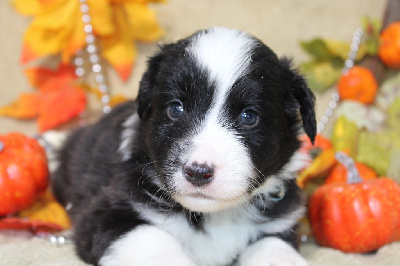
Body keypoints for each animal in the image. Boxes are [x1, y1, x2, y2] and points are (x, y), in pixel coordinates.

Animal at [52, 27, 316, 266]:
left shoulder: (280, 220)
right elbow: (150, 238)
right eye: (175, 108)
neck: (211, 216)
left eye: (249, 116)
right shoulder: (105, 213)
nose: (198, 172)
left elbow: (273, 245)